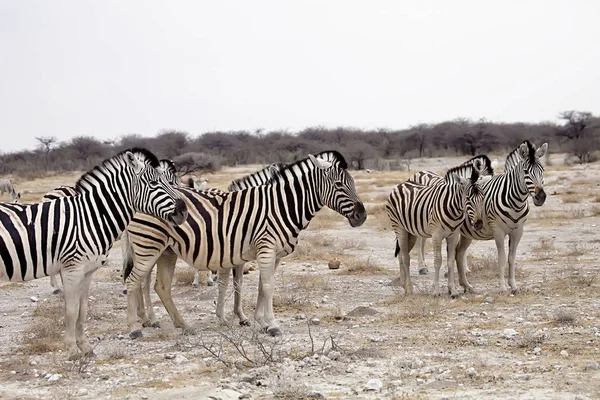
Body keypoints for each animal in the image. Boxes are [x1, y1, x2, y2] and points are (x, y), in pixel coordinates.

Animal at [0, 148, 188, 358]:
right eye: (155, 183)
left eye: (170, 181)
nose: (184, 211)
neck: (90, 217)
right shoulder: (72, 269)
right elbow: (71, 310)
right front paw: (72, 350)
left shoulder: (87, 271)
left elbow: (82, 310)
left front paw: (86, 347)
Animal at [122, 152, 366, 340]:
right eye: (339, 185)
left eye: (354, 183)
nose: (362, 216)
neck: (281, 206)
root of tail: (135, 198)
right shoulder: (265, 249)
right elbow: (266, 286)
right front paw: (272, 325)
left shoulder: (271, 254)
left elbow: (259, 287)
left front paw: (260, 322)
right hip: (149, 246)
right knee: (135, 282)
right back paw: (135, 327)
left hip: (166, 251)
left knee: (159, 286)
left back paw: (181, 325)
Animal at [384, 159, 488, 296]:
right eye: (468, 199)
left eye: (482, 198)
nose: (479, 224)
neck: (454, 210)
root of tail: (401, 184)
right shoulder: (436, 235)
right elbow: (438, 260)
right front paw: (436, 291)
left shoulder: (453, 235)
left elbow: (450, 260)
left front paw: (453, 290)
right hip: (399, 228)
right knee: (406, 258)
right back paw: (410, 288)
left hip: (410, 232)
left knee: (401, 254)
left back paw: (404, 286)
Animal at [454, 141, 548, 294]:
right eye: (526, 171)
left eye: (542, 170)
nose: (541, 197)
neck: (516, 202)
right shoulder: (498, 231)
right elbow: (502, 259)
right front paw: (503, 287)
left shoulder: (518, 231)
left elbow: (512, 258)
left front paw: (514, 286)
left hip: (467, 233)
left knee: (459, 253)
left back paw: (466, 285)